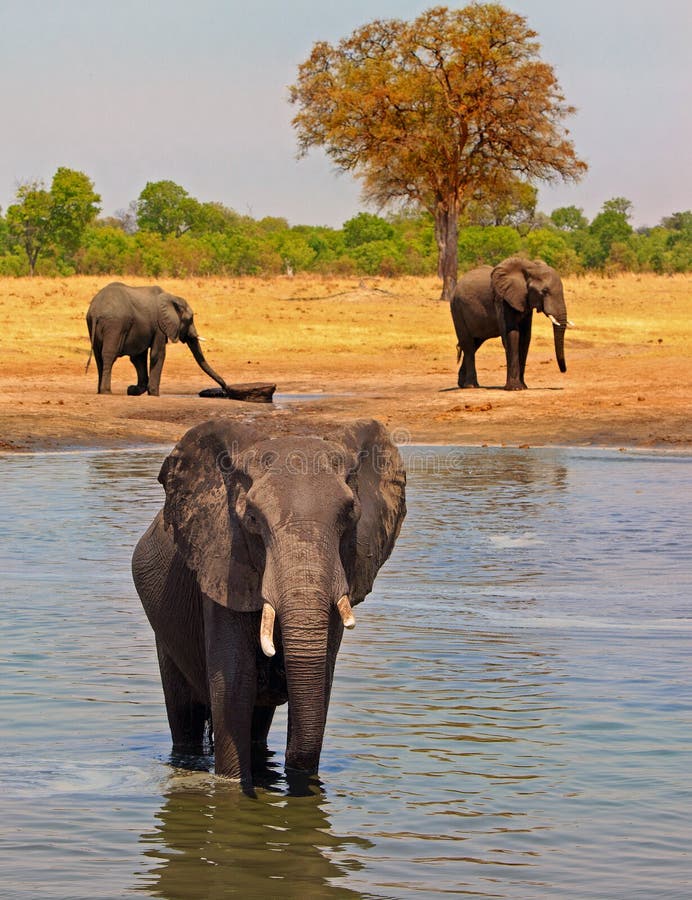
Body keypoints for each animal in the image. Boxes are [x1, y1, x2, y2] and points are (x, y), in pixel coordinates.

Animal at [86, 282, 230, 394]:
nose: (225, 388)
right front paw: (154, 393)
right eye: (190, 319)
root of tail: (96, 310)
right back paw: (106, 391)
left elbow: (138, 358)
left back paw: (100, 391)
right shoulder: (159, 325)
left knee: (99, 357)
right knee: (109, 355)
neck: (172, 297)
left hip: (94, 324)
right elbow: (158, 354)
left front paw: (133, 390)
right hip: (115, 325)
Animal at [131, 414, 406, 788]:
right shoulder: (222, 564)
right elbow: (234, 688)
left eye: (350, 514)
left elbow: (319, 686)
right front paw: (233, 787)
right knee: (184, 714)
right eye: (252, 519)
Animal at [452, 256, 572, 390]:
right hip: (457, 309)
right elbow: (512, 334)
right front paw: (515, 388)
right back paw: (471, 386)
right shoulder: (502, 299)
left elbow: (525, 337)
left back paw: (462, 384)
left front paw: (523, 386)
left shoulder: (525, 301)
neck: (530, 268)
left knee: (475, 344)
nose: (563, 370)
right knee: (468, 344)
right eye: (544, 291)